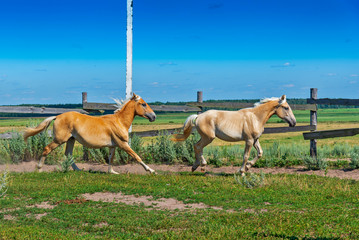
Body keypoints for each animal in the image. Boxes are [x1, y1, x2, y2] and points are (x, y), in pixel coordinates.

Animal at [23, 93, 157, 173]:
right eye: (143, 104)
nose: (154, 116)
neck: (119, 121)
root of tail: (57, 116)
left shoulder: (113, 145)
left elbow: (111, 158)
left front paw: (112, 172)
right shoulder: (122, 144)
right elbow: (136, 156)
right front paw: (151, 170)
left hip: (71, 139)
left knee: (68, 154)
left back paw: (78, 170)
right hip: (60, 140)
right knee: (47, 149)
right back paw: (39, 169)